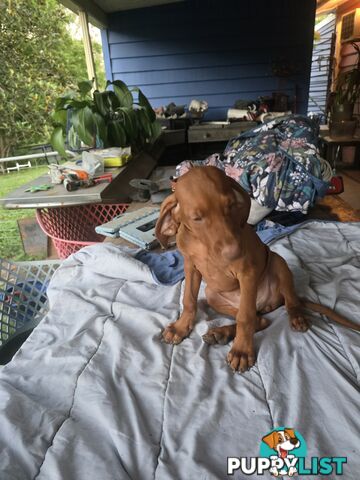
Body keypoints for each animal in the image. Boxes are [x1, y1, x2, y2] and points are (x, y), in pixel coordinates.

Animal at [155, 165, 360, 372]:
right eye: (197, 218)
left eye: (231, 205)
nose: (235, 251)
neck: (202, 245)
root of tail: (269, 304)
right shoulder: (191, 267)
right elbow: (189, 300)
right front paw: (181, 327)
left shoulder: (247, 273)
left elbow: (245, 318)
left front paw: (242, 351)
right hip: (212, 294)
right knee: (259, 319)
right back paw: (220, 333)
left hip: (278, 264)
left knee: (282, 305)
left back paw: (296, 317)